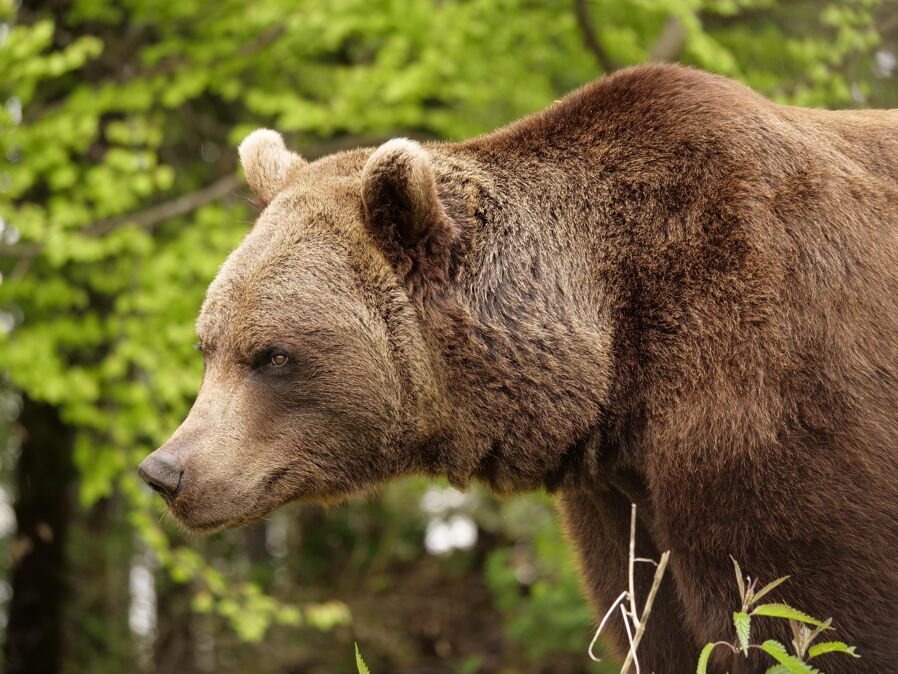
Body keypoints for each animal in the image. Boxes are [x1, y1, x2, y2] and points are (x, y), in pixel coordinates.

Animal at [138, 64, 896, 672]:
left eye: (273, 355)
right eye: (208, 346)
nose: (167, 471)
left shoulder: (781, 395)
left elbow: (804, 615)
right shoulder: (619, 496)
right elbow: (658, 628)